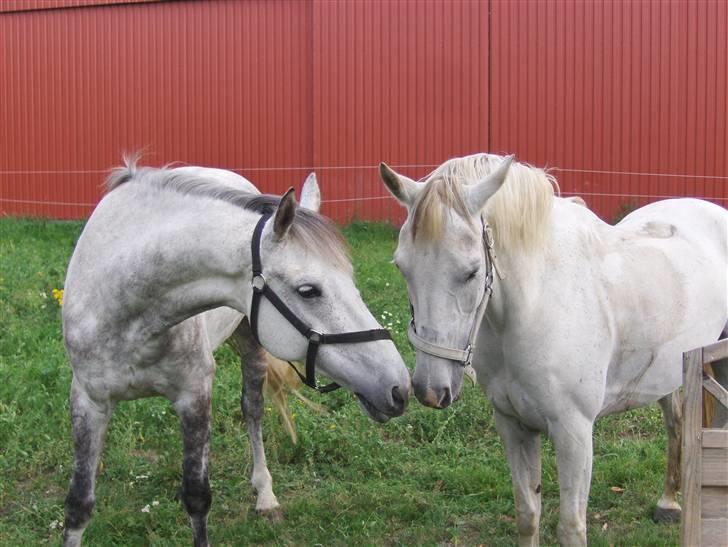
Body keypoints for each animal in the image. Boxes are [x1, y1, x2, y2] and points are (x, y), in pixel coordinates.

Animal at [61, 156, 410, 544]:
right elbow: (78, 504)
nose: (399, 387)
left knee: (252, 409)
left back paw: (265, 495)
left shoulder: (195, 394)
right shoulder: (89, 400)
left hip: (251, 344)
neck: (126, 305)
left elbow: (197, 497)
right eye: (308, 290)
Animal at [378, 155, 724, 547]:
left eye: (471, 272)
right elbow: (528, 514)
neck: (537, 302)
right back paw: (668, 503)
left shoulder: (573, 432)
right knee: (675, 420)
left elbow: (571, 527)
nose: (429, 389)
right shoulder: (513, 424)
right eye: (402, 267)